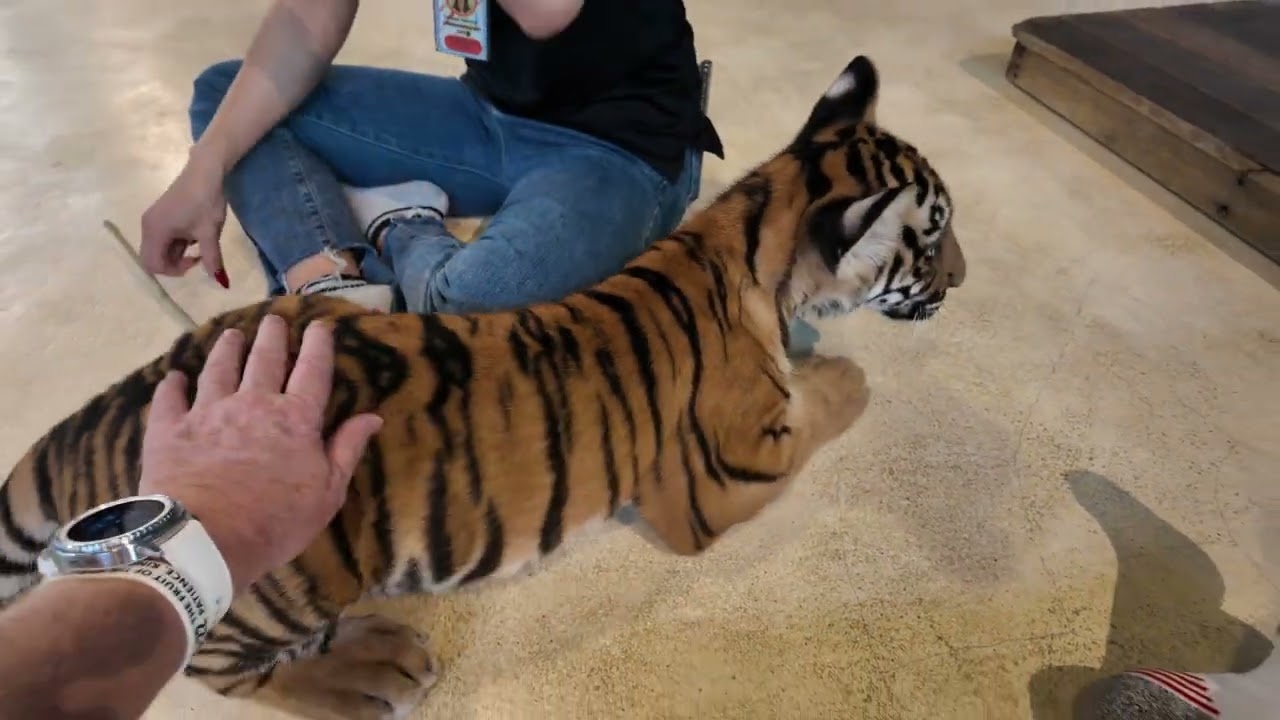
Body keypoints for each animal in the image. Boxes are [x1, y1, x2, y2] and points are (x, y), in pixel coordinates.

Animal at [0, 54, 964, 720]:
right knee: (229, 668)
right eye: (933, 239)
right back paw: (374, 675)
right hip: (272, 575)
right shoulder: (721, 482)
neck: (746, 231)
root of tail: (104, 409)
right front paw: (841, 371)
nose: (961, 277)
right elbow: (828, 403)